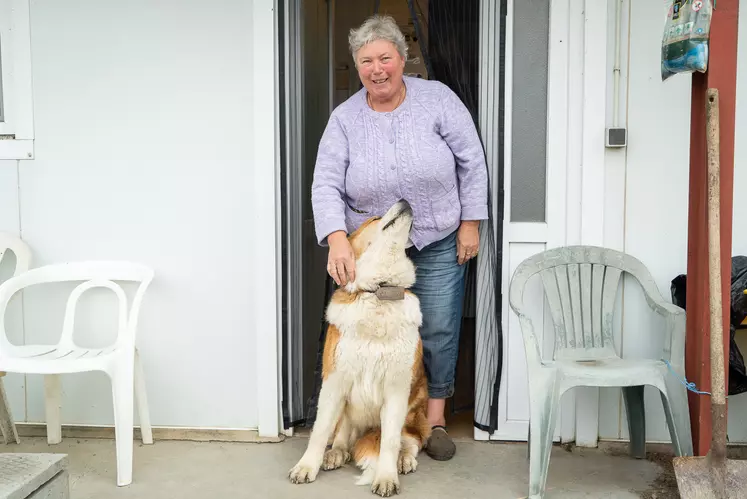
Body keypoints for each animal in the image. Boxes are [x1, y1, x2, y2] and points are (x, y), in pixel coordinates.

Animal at [292, 201, 432, 498]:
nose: (405, 200)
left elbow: (389, 441)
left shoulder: (397, 390)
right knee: (341, 435)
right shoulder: (333, 383)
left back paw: (404, 459)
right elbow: (319, 431)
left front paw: (386, 476)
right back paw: (335, 453)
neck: (379, 292)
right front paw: (307, 466)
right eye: (375, 217)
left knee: (409, 440)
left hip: (414, 412)